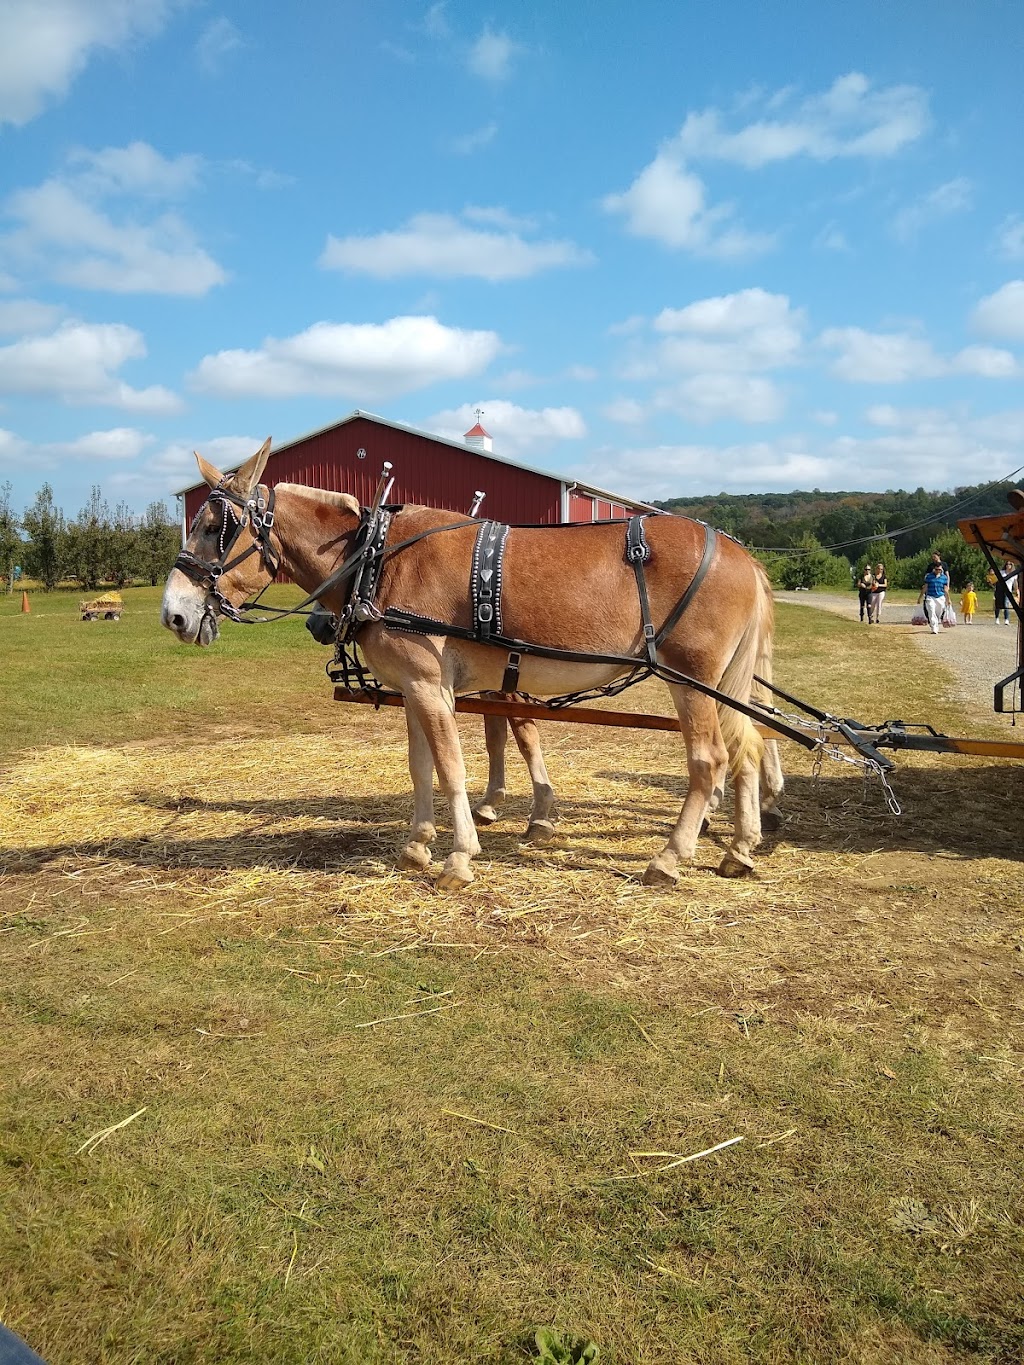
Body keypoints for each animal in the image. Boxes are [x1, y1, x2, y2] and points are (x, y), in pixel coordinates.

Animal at [164, 442, 780, 889]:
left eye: (214, 528)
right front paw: (417, 845)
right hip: (725, 683)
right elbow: (421, 767)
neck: (376, 559)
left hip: (692, 679)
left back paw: (670, 858)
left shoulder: (432, 685)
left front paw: (459, 857)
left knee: (710, 760)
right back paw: (739, 849)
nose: (173, 614)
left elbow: (453, 768)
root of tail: (743, 556)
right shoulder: (414, 687)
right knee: (748, 747)